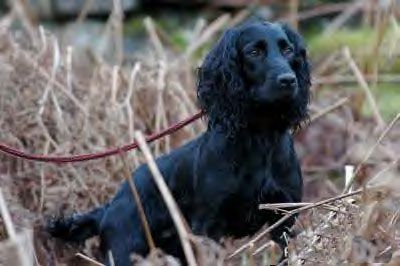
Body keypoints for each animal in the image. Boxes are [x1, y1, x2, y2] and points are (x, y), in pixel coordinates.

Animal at [46, 21, 310, 266]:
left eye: (287, 50)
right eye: (254, 52)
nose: (288, 80)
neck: (259, 137)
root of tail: (109, 207)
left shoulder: (285, 216)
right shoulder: (209, 226)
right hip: (124, 251)